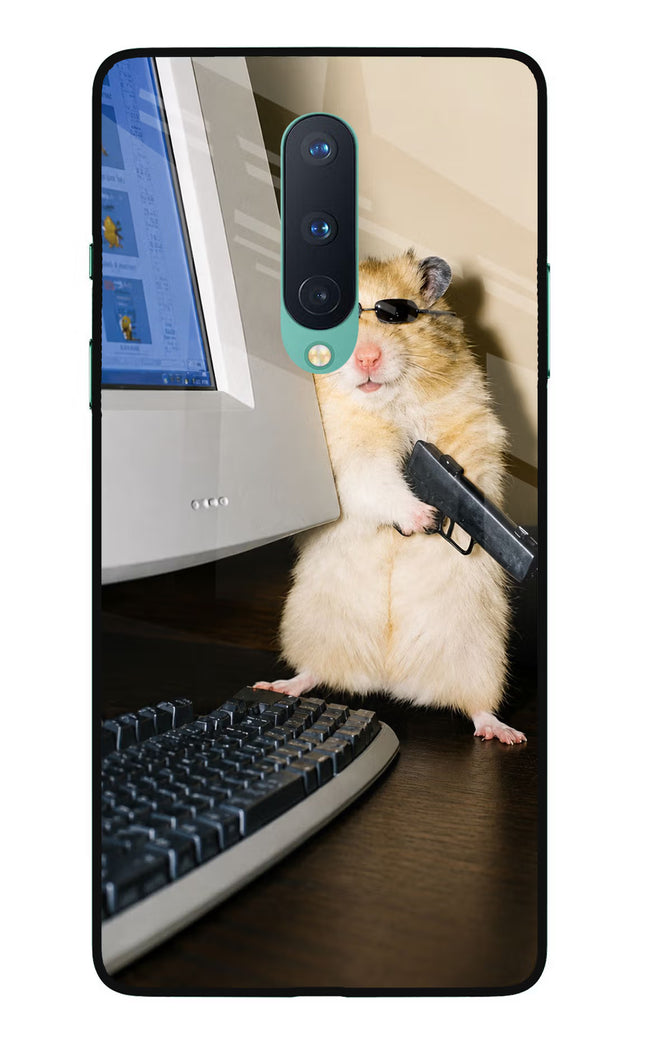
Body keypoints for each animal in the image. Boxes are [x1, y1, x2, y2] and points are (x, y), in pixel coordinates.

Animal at [256, 250, 526, 744]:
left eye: (395, 316)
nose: (367, 358)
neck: (387, 404)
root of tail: (388, 679)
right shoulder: (348, 459)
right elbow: (378, 482)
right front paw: (423, 518)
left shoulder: (472, 429)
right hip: (311, 626)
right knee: (313, 672)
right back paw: (278, 685)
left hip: (480, 654)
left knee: (477, 706)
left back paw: (505, 733)